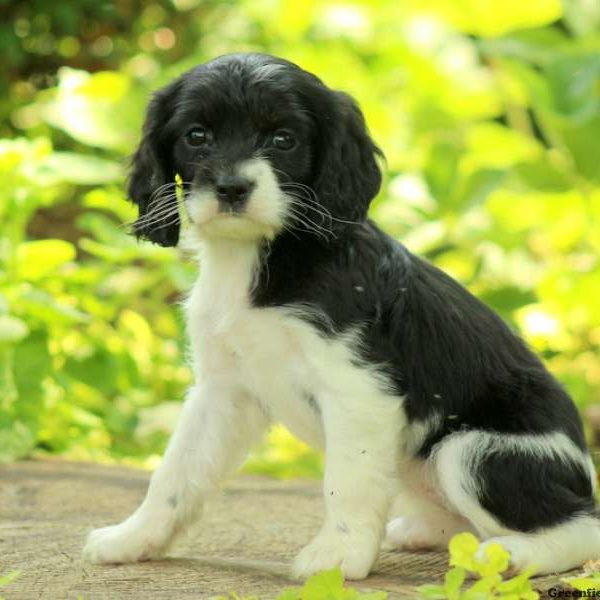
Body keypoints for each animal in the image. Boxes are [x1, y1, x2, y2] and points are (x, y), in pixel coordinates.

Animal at [84, 54, 600, 580]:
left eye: (283, 139)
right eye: (196, 135)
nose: (232, 188)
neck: (265, 259)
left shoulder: (359, 388)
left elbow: (345, 480)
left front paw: (337, 556)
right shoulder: (223, 389)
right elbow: (176, 472)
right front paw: (132, 538)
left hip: (470, 450)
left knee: (580, 527)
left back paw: (509, 556)